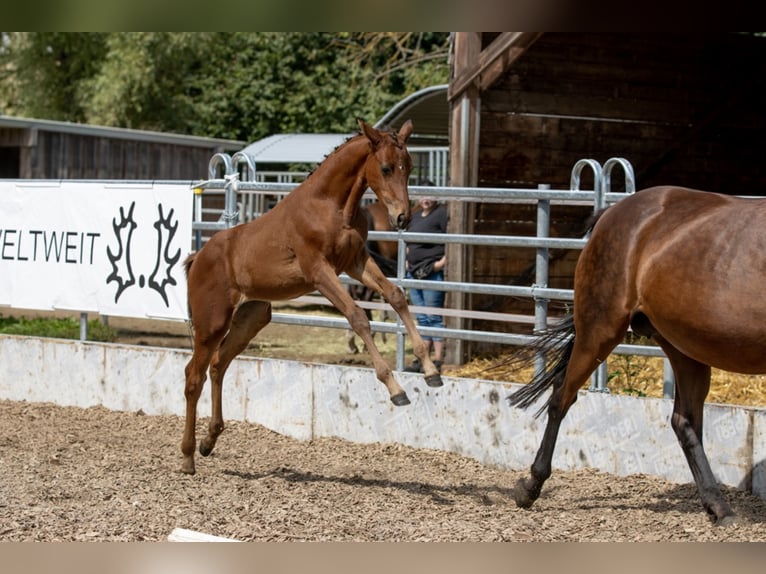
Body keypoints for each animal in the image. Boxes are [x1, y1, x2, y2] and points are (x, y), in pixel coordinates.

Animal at [182, 119, 444, 474]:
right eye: (386, 167)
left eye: (410, 167)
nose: (403, 218)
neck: (331, 206)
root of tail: (198, 258)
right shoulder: (320, 272)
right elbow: (357, 316)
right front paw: (395, 389)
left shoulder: (356, 261)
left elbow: (396, 296)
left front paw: (431, 371)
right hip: (212, 322)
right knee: (193, 376)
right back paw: (187, 457)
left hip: (251, 317)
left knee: (218, 365)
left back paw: (210, 441)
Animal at [510, 187, 766, 528]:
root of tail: (613, 212)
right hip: (599, 330)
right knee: (561, 397)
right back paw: (530, 487)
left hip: (683, 348)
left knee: (685, 422)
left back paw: (719, 507)